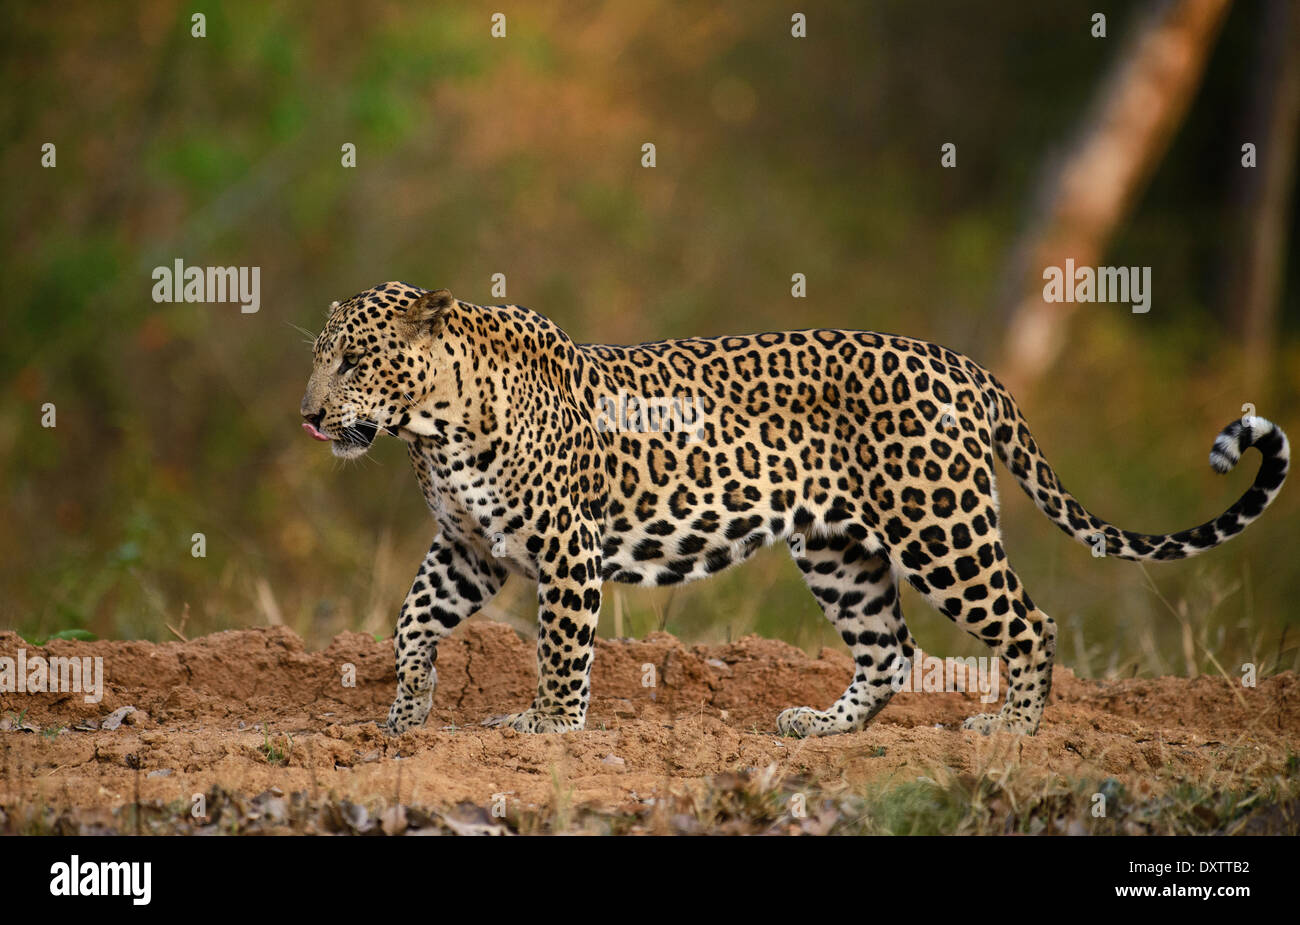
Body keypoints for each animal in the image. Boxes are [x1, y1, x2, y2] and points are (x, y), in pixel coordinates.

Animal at [304, 280, 1289, 737]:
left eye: (353, 359)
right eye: (322, 357)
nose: (309, 416)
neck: (431, 425)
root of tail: (969, 367)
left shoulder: (564, 551)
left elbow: (559, 650)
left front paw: (545, 725)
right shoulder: (470, 549)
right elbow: (409, 620)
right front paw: (406, 713)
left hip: (941, 528)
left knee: (1030, 621)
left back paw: (1010, 727)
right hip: (839, 551)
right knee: (890, 649)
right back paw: (824, 726)